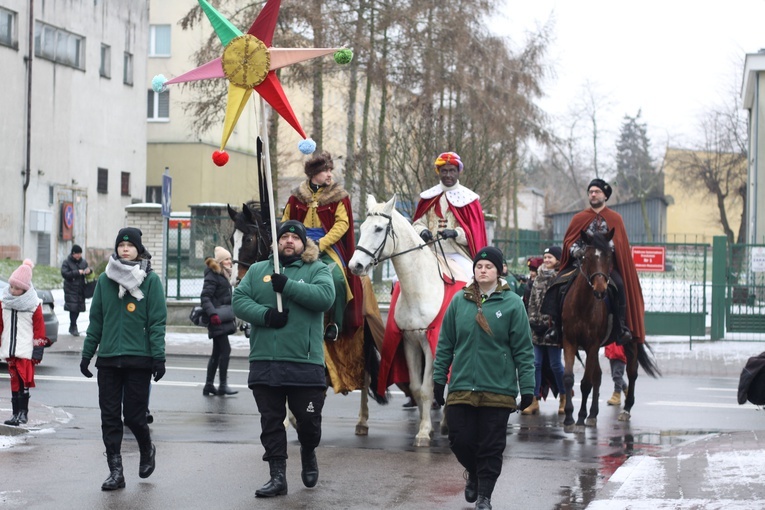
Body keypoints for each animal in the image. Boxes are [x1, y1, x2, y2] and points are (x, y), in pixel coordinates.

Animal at [348, 195, 462, 446]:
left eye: (379, 228)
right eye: (362, 227)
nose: (355, 266)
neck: (420, 289)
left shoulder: (431, 344)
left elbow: (428, 388)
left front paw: (424, 432)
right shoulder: (410, 342)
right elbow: (416, 388)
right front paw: (425, 426)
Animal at [560, 229, 660, 432]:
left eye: (609, 256)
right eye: (588, 256)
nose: (601, 290)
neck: (583, 305)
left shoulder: (592, 345)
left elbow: (585, 383)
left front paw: (580, 418)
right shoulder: (570, 341)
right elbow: (569, 378)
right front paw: (569, 418)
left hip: (631, 342)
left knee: (632, 373)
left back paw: (626, 409)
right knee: (598, 376)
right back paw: (593, 415)